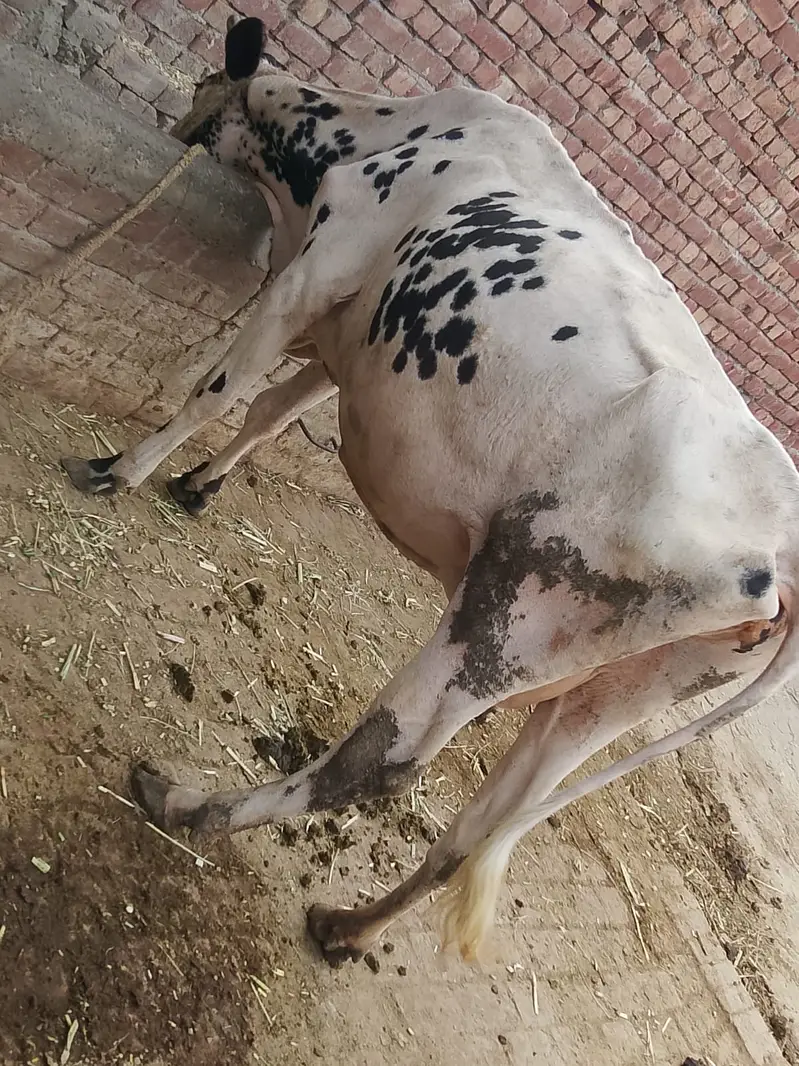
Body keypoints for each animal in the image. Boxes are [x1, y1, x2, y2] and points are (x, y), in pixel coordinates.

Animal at [60, 15, 799, 966]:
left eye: (204, 83)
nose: (180, 121)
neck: (377, 136)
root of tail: (781, 542)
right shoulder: (355, 332)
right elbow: (273, 408)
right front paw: (200, 485)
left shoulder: (317, 270)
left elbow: (220, 389)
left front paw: (123, 469)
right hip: (605, 694)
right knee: (482, 830)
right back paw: (346, 925)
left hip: (505, 616)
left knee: (386, 760)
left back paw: (192, 806)